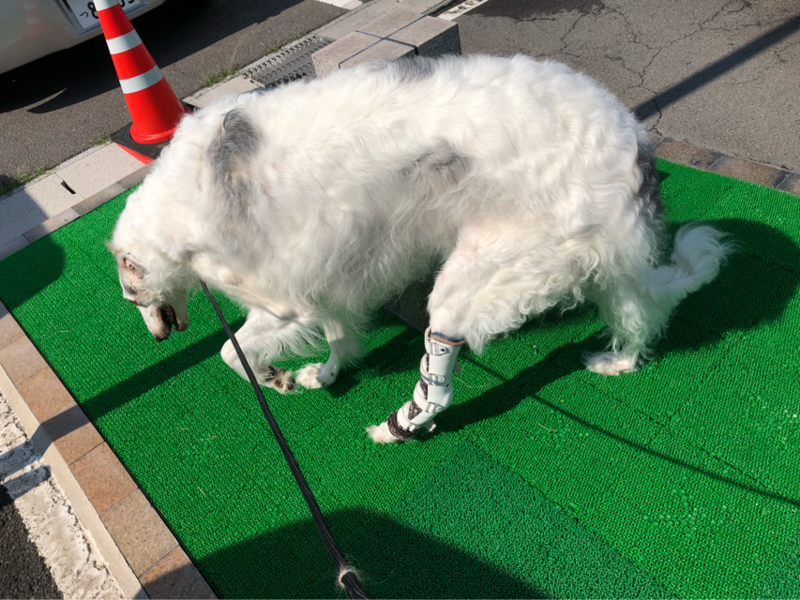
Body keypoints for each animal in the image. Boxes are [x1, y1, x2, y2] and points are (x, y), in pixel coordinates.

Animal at [109, 54, 730, 444]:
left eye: (131, 296)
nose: (158, 336)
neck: (181, 204)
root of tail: (631, 139)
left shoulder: (280, 302)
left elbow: (228, 352)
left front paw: (274, 379)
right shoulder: (326, 282)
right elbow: (340, 336)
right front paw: (322, 375)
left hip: (490, 266)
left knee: (442, 363)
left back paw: (401, 424)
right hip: (591, 257)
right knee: (641, 314)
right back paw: (619, 361)